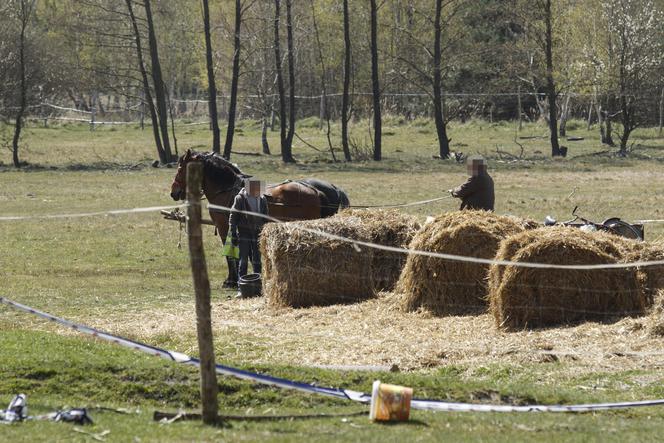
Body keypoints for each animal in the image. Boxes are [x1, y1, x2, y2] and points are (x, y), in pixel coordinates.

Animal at [169, 149, 350, 288]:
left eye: (180, 168)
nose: (173, 192)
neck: (226, 189)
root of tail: (316, 191)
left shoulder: (224, 227)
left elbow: (229, 254)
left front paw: (231, 280)